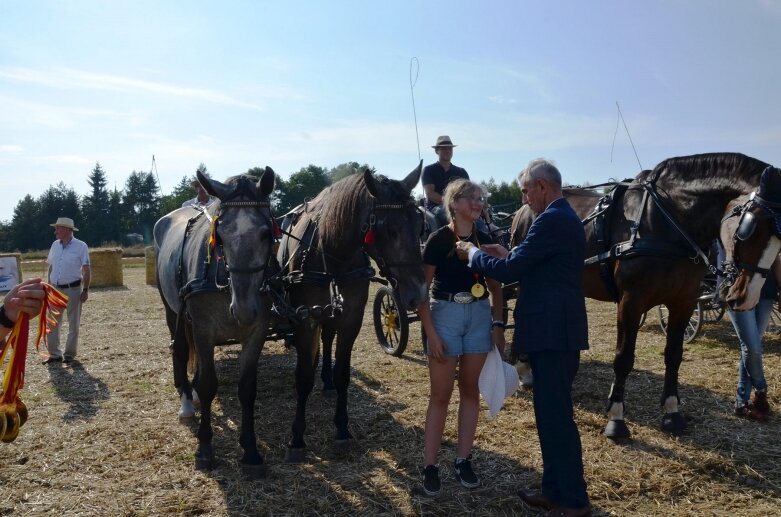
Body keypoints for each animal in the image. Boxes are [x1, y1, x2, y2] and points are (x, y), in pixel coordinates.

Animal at [272, 162, 424, 460]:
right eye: (390, 229)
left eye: (419, 223)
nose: (418, 293)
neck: (332, 256)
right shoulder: (305, 318)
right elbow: (303, 375)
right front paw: (297, 437)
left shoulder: (351, 317)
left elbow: (343, 372)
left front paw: (342, 429)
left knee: (327, 340)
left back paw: (327, 381)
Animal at [512, 154, 780, 440]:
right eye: (750, 228)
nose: (747, 297)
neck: (667, 220)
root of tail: (523, 209)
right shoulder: (631, 301)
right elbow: (623, 359)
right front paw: (616, 418)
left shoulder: (684, 302)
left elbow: (674, 355)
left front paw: (672, 412)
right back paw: (524, 369)